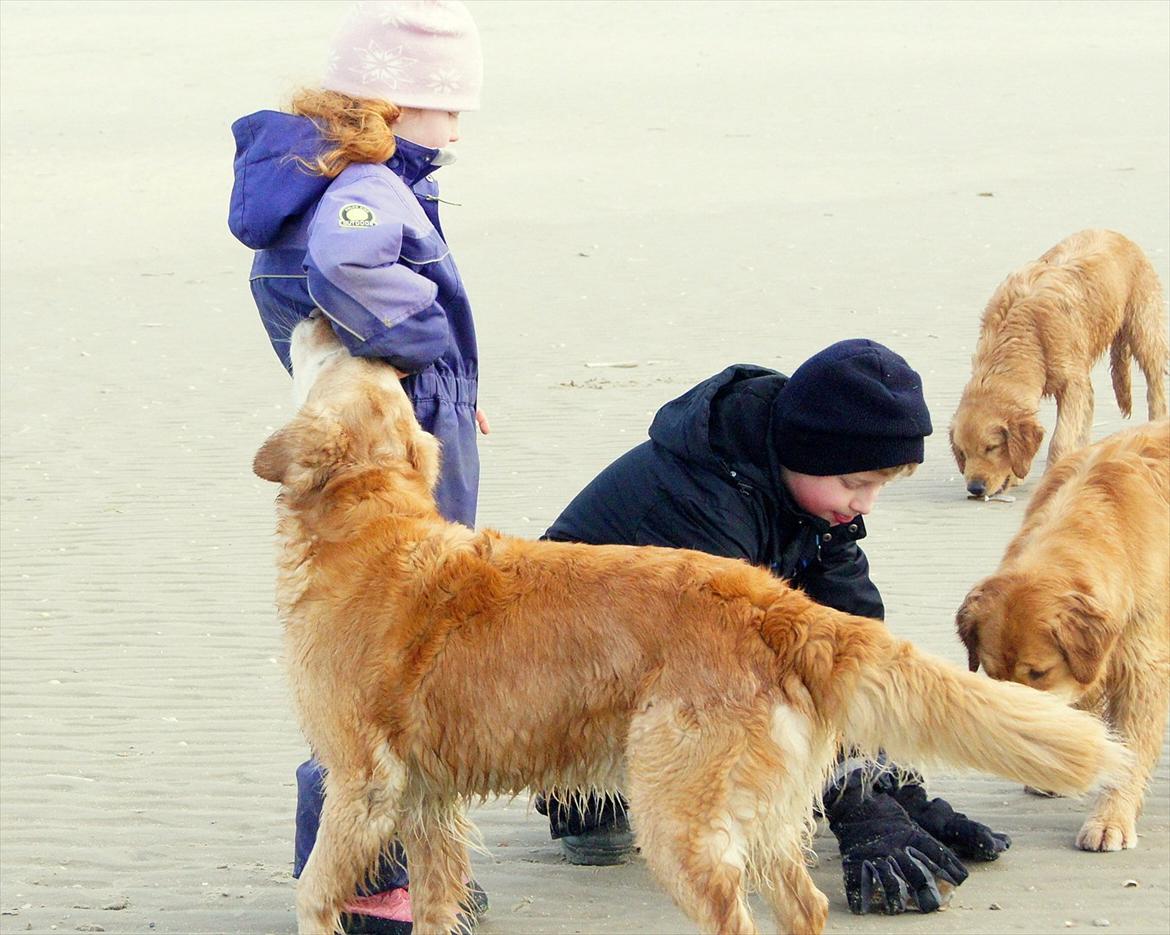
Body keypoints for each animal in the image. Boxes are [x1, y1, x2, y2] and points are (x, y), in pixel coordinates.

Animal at [263, 318, 1123, 931]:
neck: (369, 519)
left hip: (677, 817)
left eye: (341, 355)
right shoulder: (430, 802)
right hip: (765, 813)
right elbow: (437, 904)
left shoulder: (363, 781)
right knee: (805, 906)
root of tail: (774, 603)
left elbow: (312, 894)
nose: (322, 315)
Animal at [950, 228, 1160, 496]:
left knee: (1156, 387)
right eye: (963, 453)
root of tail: (1116, 234)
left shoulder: (1071, 383)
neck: (1024, 335)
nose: (975, 488)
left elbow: (1060, 438)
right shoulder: (1074, 380)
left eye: (992, 447)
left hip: (1144, 330)